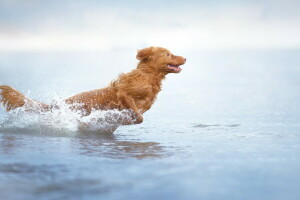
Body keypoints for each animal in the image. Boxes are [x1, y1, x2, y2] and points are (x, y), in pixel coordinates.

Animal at [0, 47, 186, 126]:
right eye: (167, 54)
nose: (185, 58)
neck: (148, 76)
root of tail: (56, 105)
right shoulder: (124, 94)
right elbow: (138, 116)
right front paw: (130, 120)